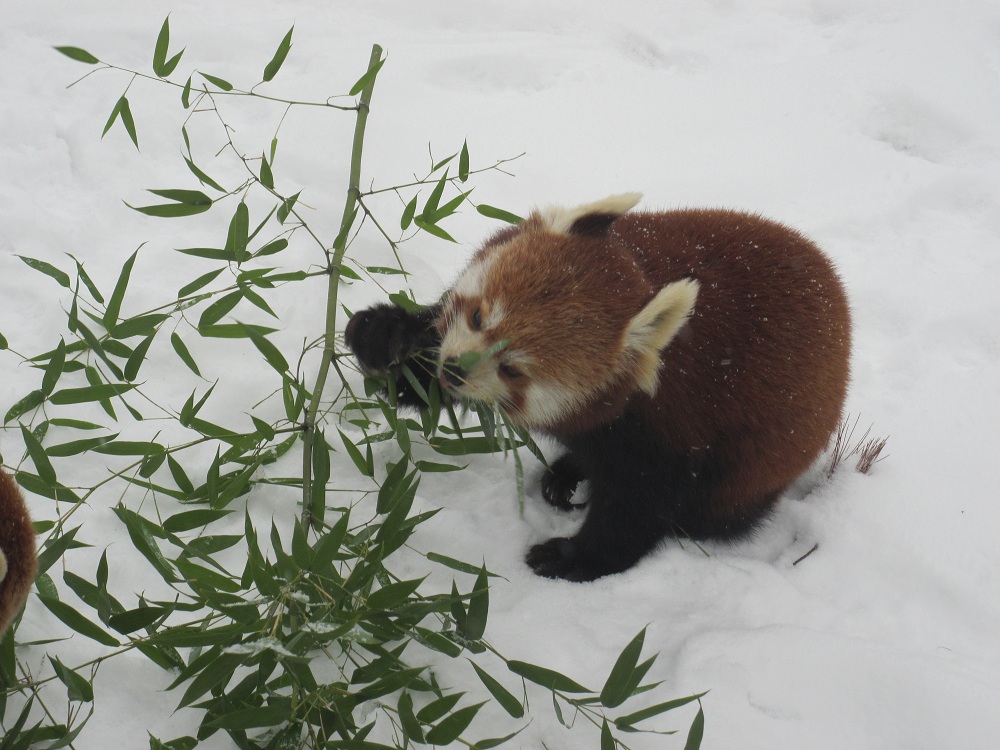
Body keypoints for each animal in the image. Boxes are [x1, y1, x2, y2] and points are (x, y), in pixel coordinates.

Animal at [345, 194, 851, 581]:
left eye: (513, 370)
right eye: (476, 316)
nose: (454, 370)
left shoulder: (668, 425)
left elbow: (639, 506)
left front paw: (574, 557)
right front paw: (386, 337)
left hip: (762, 457)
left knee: (716, 512)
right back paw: (567, 471)